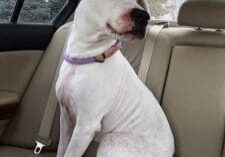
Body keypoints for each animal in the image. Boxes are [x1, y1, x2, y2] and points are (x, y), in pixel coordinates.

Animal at [55, 0, 175, 156]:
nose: (144, 16)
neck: (85, 57)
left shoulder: (85, 126)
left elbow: (70, 153)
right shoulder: (65, 117)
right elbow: (61, 149)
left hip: (110, 140)